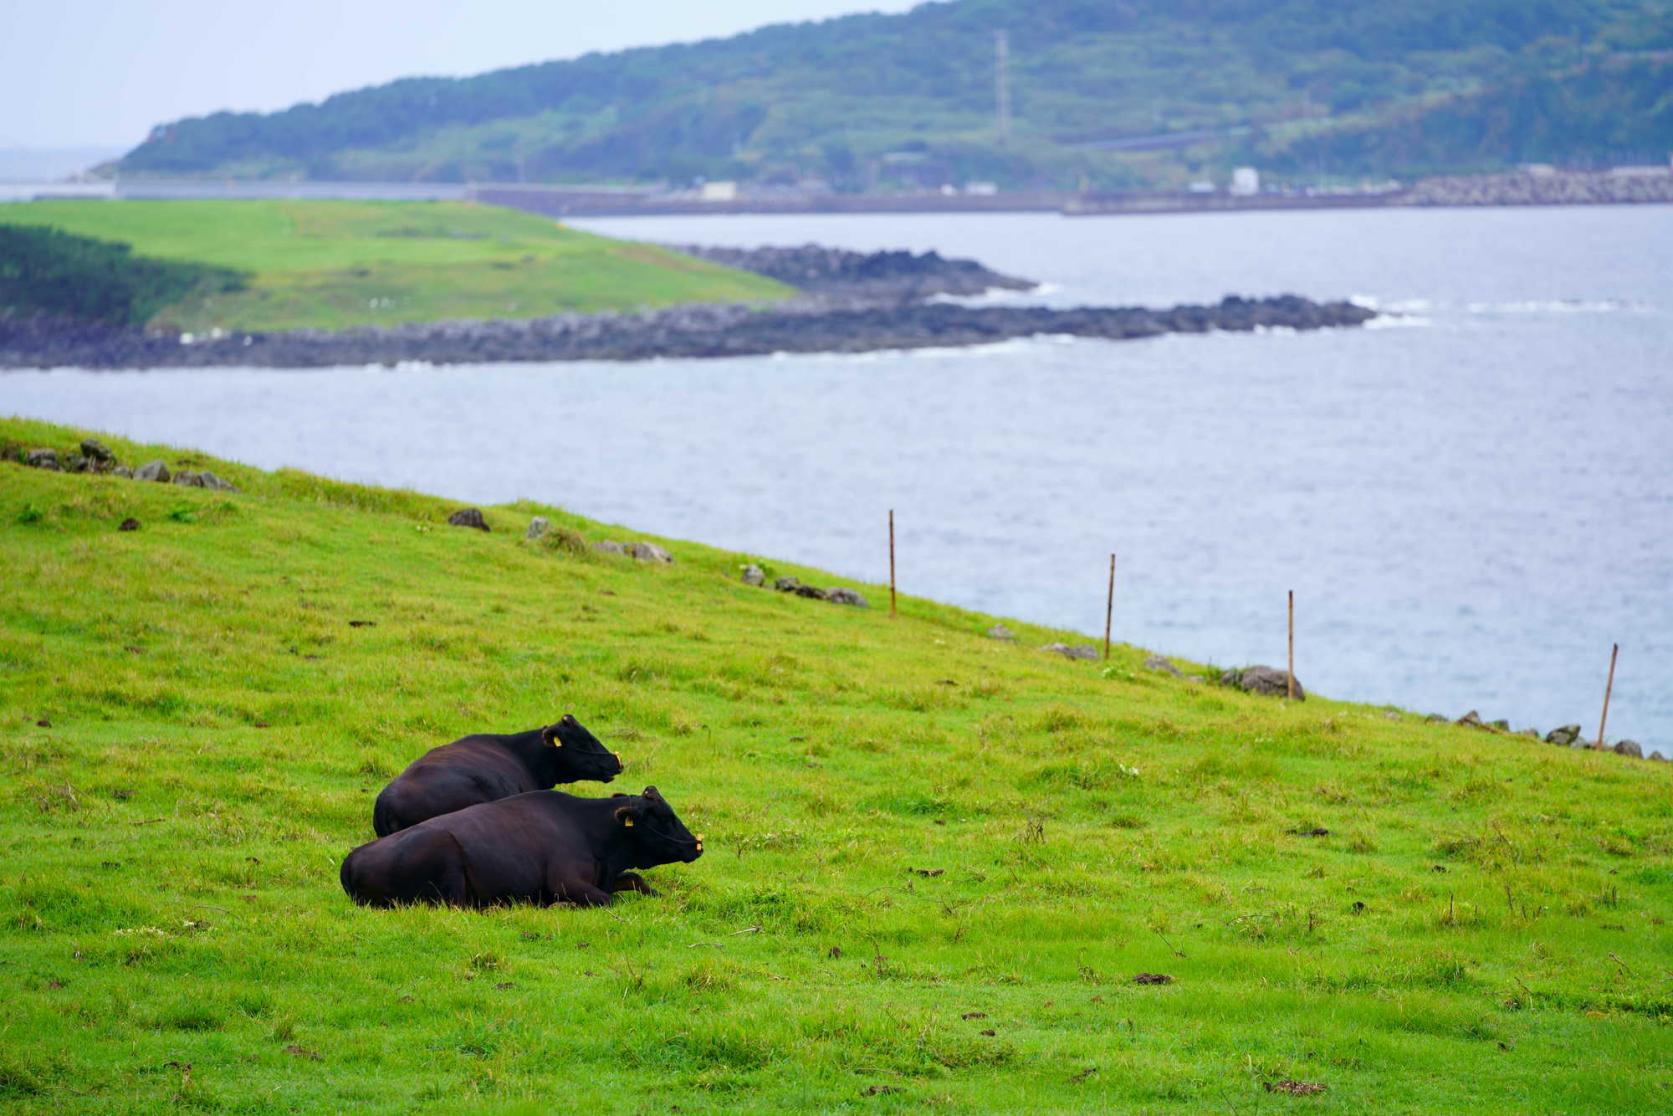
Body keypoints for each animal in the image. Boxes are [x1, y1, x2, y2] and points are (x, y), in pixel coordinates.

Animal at [339, 786, 706, 910]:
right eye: (664, 816)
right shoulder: (565, 881)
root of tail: (352, 859)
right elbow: (607, 899)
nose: (696, 845)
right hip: (448, 863)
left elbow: (635, 881)